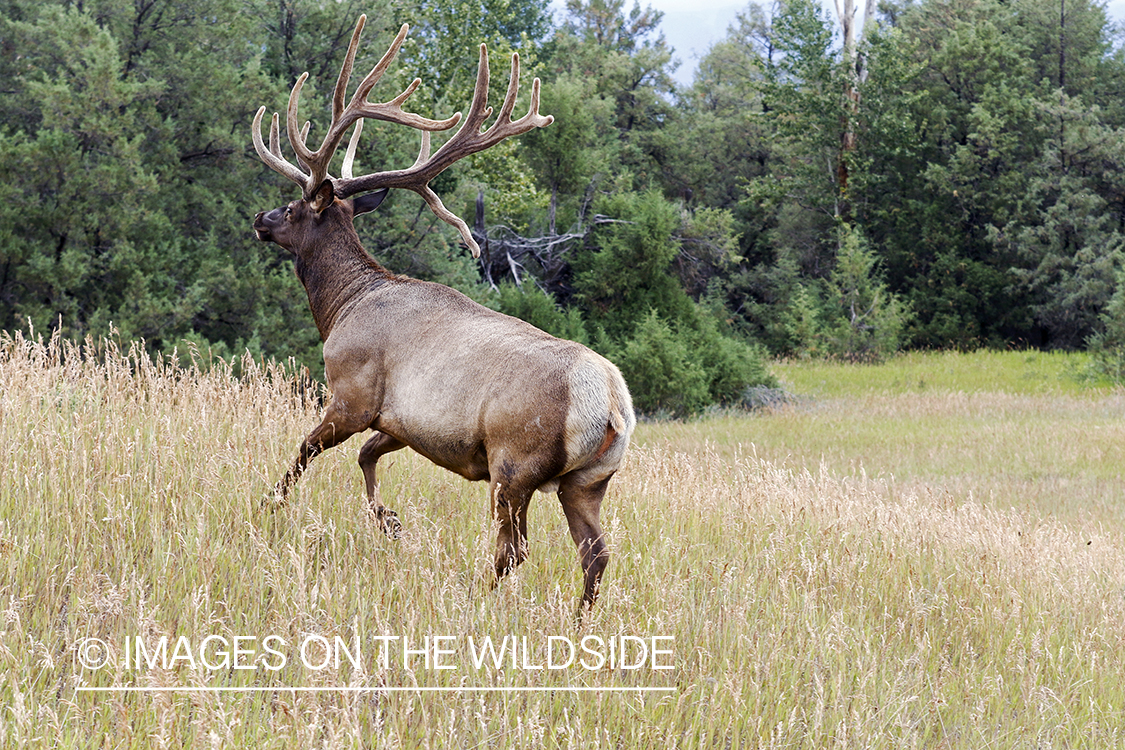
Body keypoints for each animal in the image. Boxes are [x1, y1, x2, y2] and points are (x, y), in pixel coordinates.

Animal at [253, 14, 634, 607]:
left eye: (292, 208)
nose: (259, 219)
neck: (342, 305)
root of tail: (610, 405)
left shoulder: (354, 391)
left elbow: (305, 450)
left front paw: (269, 505)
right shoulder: (403, 421)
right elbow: (367, 457)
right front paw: (388, 521)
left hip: (514, 461)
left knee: (514, 549)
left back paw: (479, 601)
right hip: (589, 481)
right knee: (595, 554)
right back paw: (577, 620)